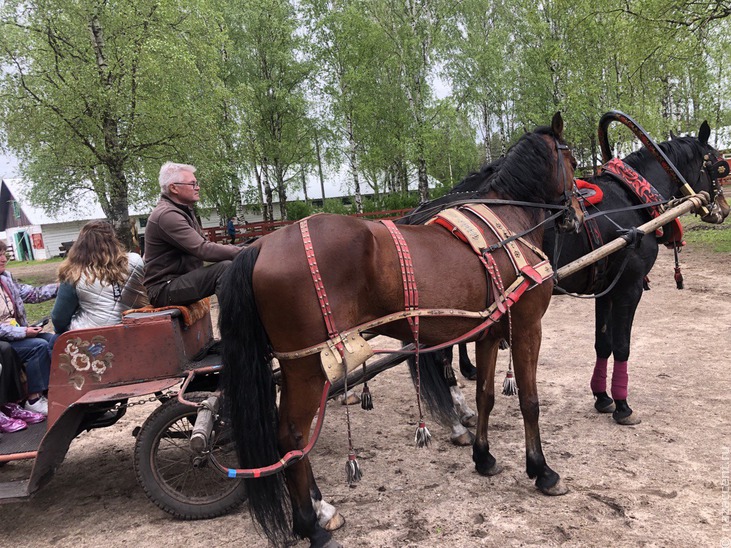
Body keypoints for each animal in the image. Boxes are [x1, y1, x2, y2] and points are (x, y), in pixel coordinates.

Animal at [220, 112, 580, 548]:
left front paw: (484, 456)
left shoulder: (489, 334)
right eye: (574, 162)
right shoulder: (528, 328)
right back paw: (310, 524)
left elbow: (485, 396)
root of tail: (262, 245)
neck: (508, 224)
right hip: (307, 367)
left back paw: (318, 511)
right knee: (291, 436)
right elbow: (529, 401)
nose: (578, 213)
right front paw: (542, 470)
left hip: (296, 367)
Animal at [448, 122, 728, 426]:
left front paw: (602, 397)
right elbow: (622, 345)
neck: (631, 200)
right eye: (719, 166)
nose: (724, 210)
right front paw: (622, 405)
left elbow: (602, 343)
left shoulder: (605, 289)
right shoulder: (629, 288)